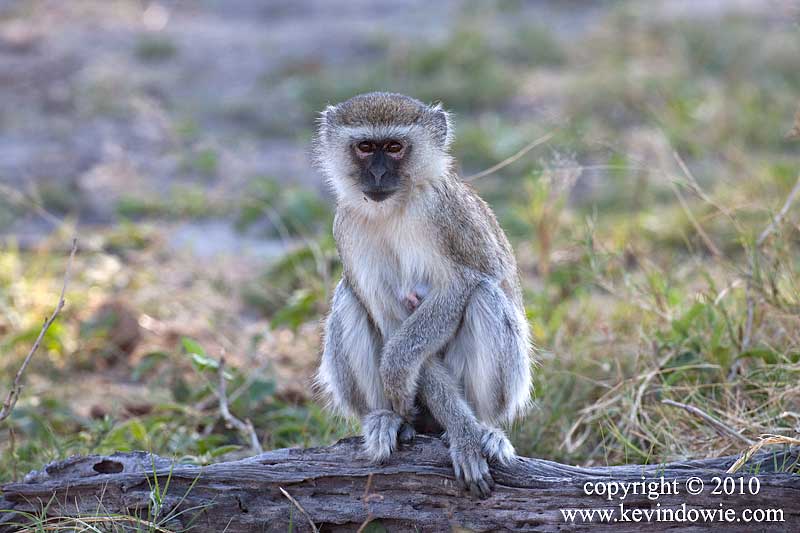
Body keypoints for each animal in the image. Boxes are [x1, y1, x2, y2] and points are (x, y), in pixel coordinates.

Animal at [314, 92, 532, 498]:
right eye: (365, 147)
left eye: (394, 148)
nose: (377, 175)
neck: (394, 207)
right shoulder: (347, 222)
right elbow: (388, 318)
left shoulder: (444, 212)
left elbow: (461, 284)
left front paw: (464, 436)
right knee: (349, 297)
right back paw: (387, 419)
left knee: (484, 295)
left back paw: (484, 428)